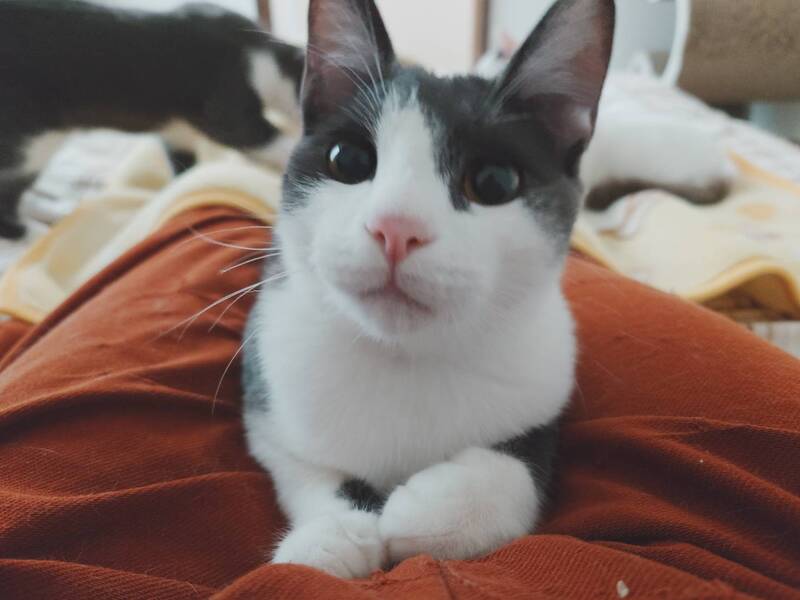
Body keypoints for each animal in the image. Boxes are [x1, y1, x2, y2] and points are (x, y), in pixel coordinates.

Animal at [0, 0, 304, 239]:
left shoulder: (177, 130)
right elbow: (262, 137)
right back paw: (34, 234)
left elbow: (182, 165)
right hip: (29, 142)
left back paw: (55, 212)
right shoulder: (226, 109)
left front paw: (177, 187)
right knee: (6, 203)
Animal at [242, 0, 613, 579]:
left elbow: (527, 459)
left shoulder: (548, 381)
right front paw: (330, 536)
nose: (396, 227)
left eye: (494, 183)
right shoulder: (267, 395)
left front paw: (442, 509)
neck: (406, 358)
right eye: (347, 161)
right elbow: (303, 466)